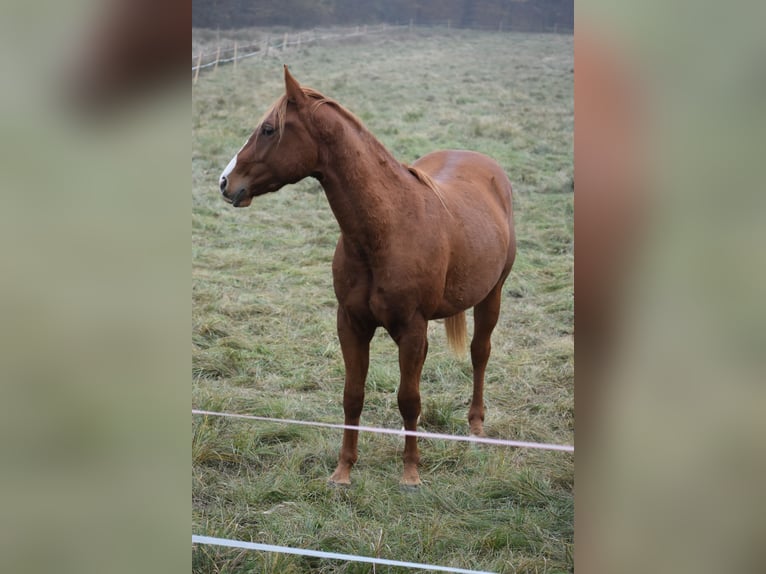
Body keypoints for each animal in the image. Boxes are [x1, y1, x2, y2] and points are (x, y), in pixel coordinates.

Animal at [219, 66, 516, 486]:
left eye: (268, 129)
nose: (225, 182)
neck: (387, 229)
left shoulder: (412, 330)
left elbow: (408, 399)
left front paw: (410, 473)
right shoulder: (351, 323)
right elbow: (353, 395)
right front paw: (343, 470)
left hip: (493, 295)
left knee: (479, 353)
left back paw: (475, 428)